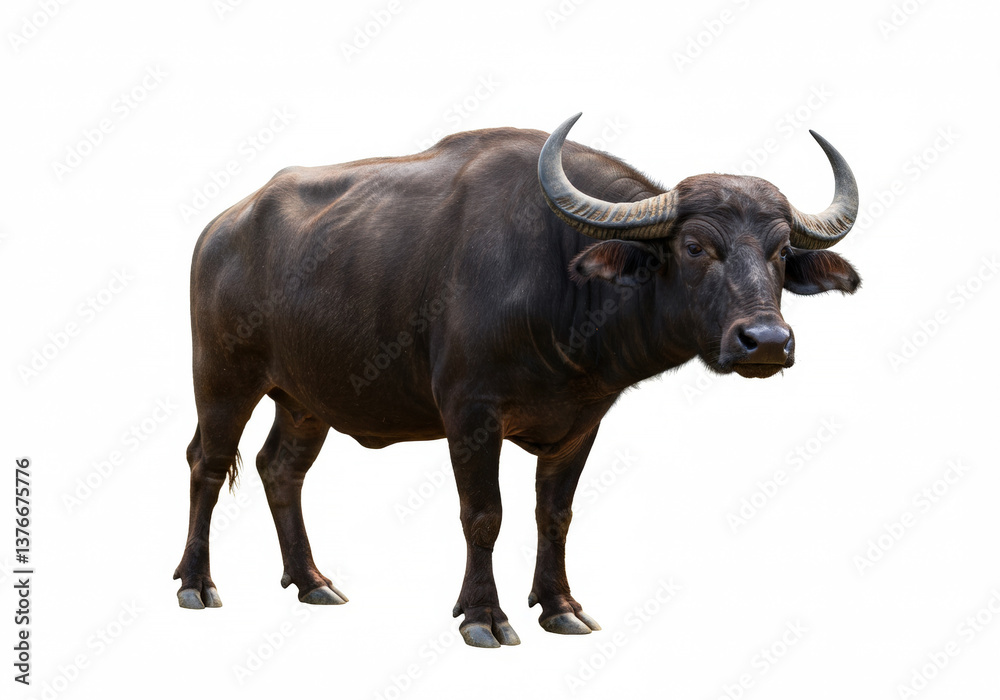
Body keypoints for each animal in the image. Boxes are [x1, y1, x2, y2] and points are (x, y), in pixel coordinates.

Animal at [174, 113, 860, 647]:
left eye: (780, 252)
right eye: (695, 246)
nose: (765, 342)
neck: (559, 276)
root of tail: (220, 229)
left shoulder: (582, 422)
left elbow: (554, 514)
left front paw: (560, 607)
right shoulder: (470, 415)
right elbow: (484, 514)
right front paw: (483, 615)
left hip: (304, 397)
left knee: (280, 468)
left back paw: (312, 581)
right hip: (223, 377)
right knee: (207, 463)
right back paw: (196, 583)